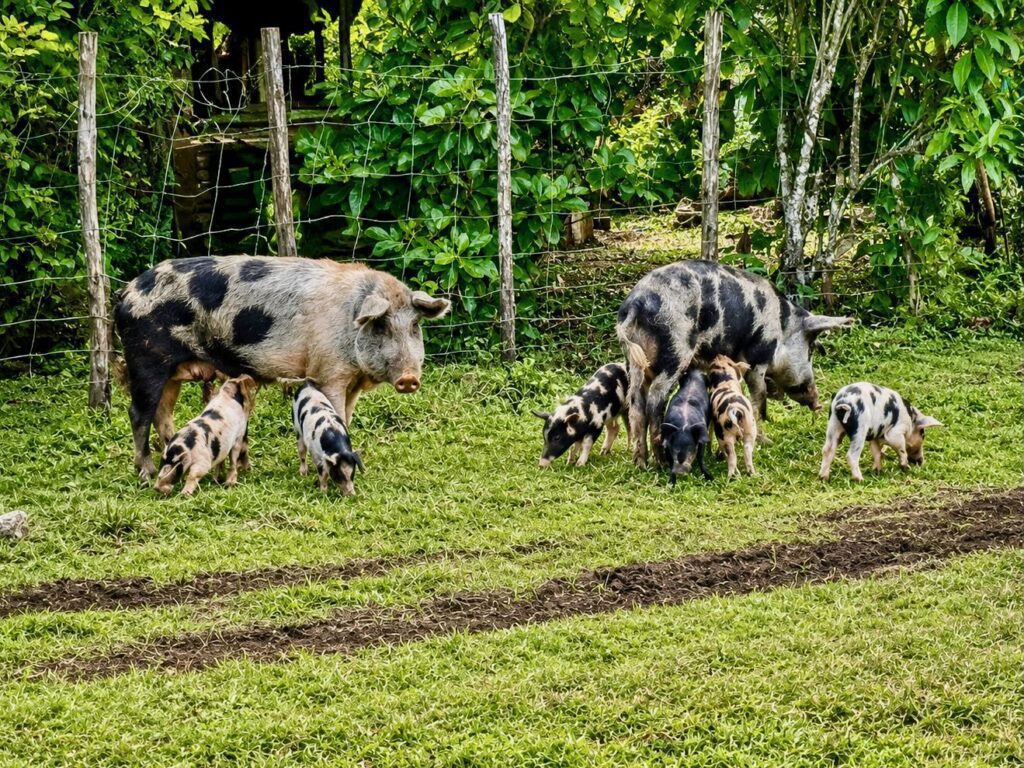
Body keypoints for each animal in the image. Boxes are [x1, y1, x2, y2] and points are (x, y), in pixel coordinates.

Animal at [114, 256, 450, 479]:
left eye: (415, 326)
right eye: (381, 326)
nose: (409, 379)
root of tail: (126, 294)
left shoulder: (351, 381)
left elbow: (348, 417)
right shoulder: (329, 373)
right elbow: (336, 415)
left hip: (171, 372)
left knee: (163, 414)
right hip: (146, 358)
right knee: (139, 413)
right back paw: (145, 473)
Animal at [616, 260, 853, 466]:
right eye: (810, 350)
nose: (818, 403)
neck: (782, 327)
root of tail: (637, 302)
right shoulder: (757, 360)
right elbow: (758, 398)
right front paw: (765, 441)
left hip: (635, 362)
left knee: (636, 405)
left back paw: (641, 463)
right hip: (674, 351)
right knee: (654, 401)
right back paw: (662, 462)